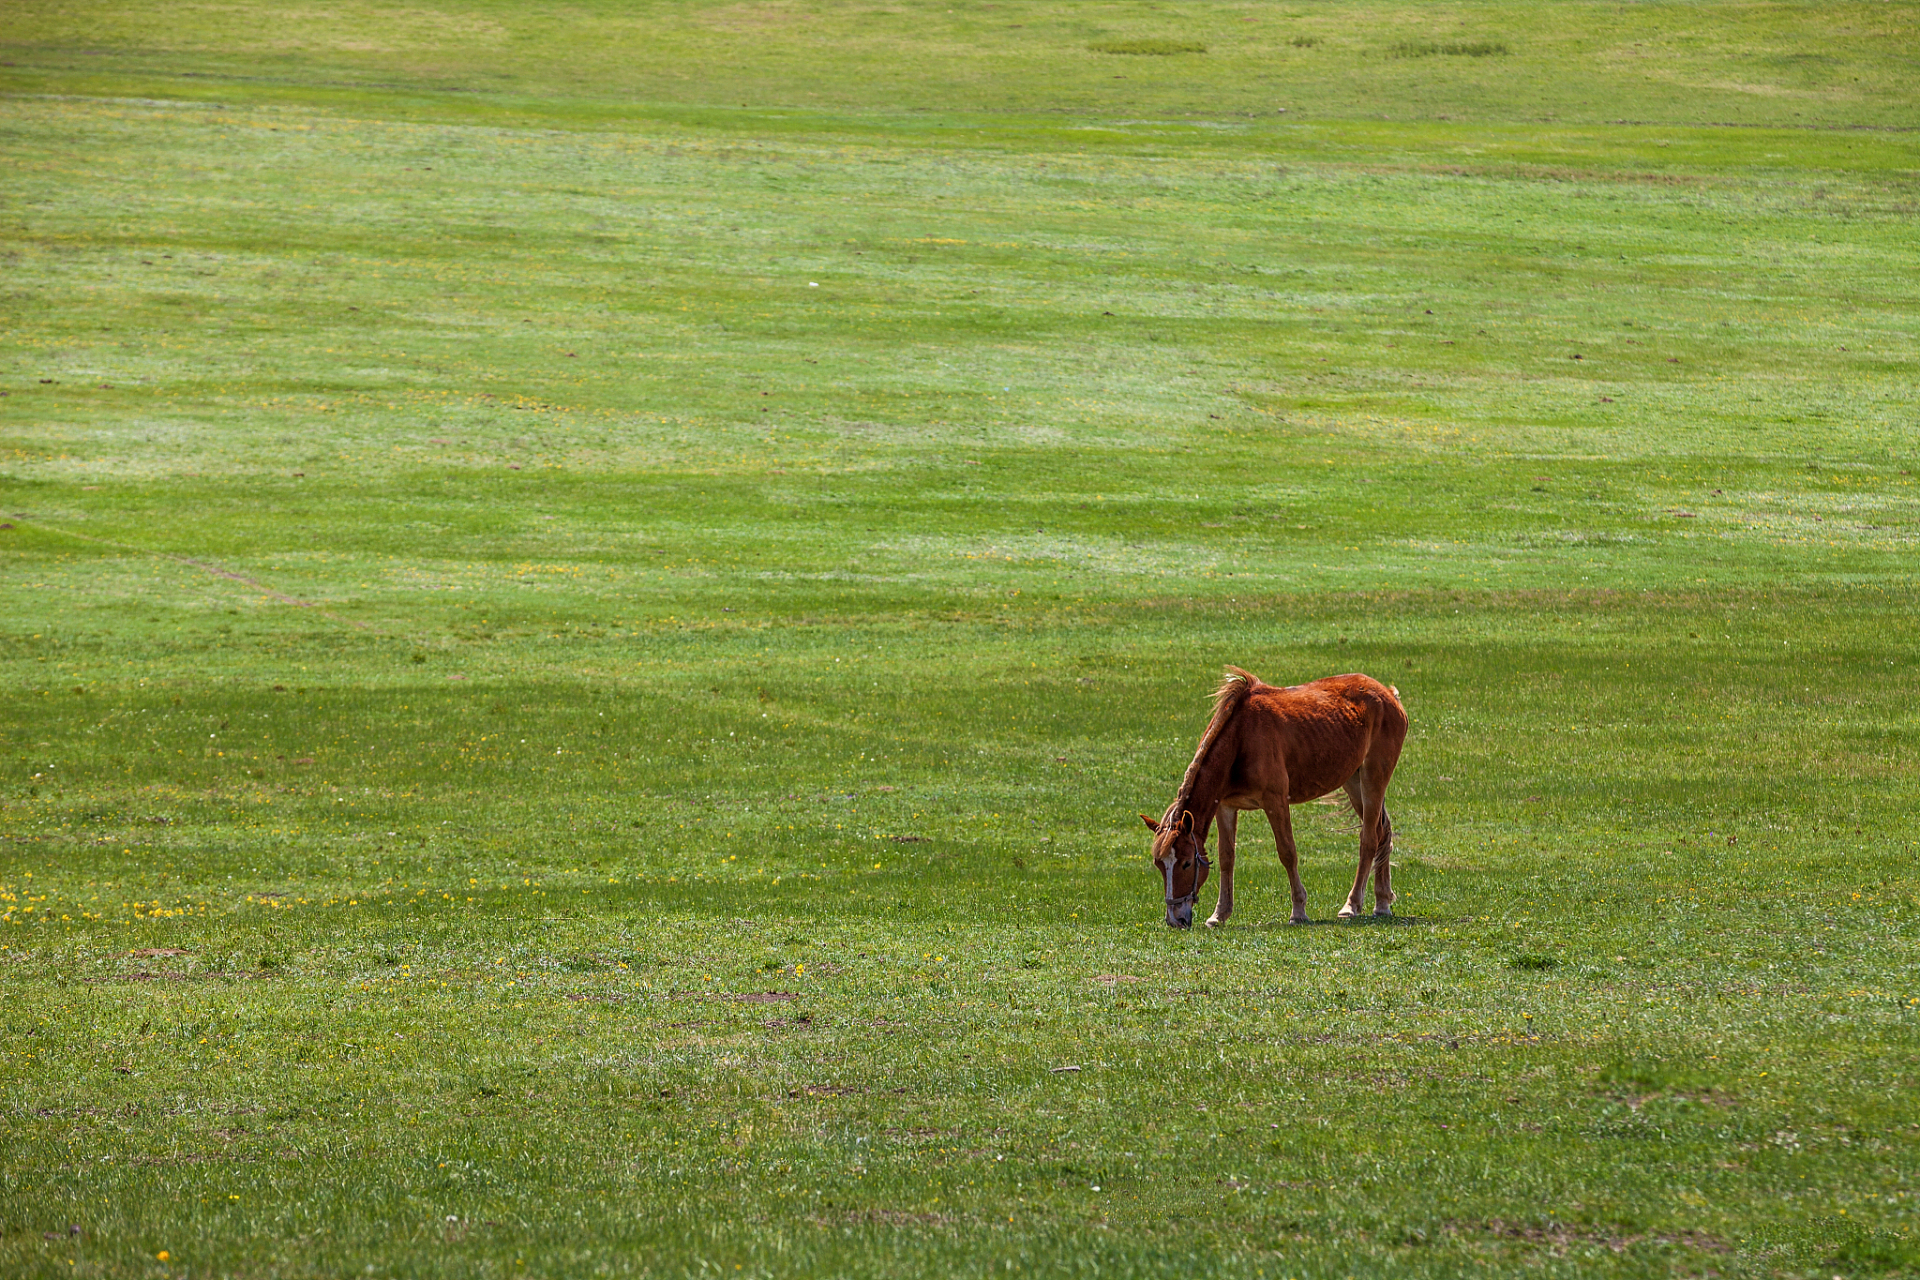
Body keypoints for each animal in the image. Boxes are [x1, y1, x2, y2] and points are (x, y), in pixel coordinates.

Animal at [1136, 667, 1413, 924]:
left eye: (1185, 863)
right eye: (1158, 863)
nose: (1175, 920)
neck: (1240, 739)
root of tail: (1389, 695)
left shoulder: (1275, 801)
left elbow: (1287, 852)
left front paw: (1298, 910)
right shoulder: (1225, 807)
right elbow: (1227, 858)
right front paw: (1220, 913)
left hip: (1373, 778)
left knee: (1369, 839)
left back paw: (1352, 905)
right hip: (1353, 782)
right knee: (1382, 832)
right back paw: (1382, 903)